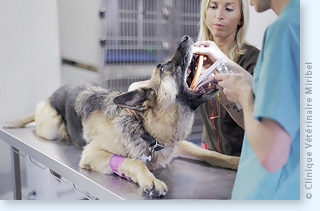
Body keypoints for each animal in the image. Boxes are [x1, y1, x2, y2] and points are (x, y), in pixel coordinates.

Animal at [3, 35, 239, 197]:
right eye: (163, 68)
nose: (186, 37)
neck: (143, 127)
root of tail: (53, 95)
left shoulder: (179, 146)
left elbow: (211, 154)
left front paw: (234, 161)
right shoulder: (92, 154)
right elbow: (134, 162)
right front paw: (151, 180)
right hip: (51, 127)